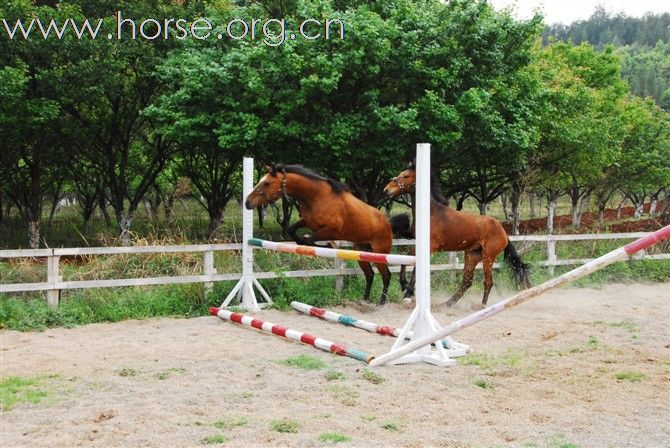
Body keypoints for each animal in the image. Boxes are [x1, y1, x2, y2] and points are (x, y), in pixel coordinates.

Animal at [245, 164, 394, 304]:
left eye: (267, 183)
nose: (247, 202)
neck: (317, 197)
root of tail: (387, 223)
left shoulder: (331, 230)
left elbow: (309, 240)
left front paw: (328, 246)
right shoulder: (307, 221)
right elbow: (293, 231)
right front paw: (306, 242)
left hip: (379, 253)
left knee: (386, 275)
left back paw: (382, 301)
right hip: (361, 251)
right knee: (370, 275)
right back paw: (365, 299)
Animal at [386, 164, 532, 308]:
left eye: (406, 176)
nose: (386, 190)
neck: (431, 212)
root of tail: (504, 232)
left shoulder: (431, 247)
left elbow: (414, 266)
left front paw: (408, 294)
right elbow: (406, 259)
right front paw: (404, 286)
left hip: (488, 257)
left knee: (488, 282)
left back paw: (482, 306)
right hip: (472, 255)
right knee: (467, 282)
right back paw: (446, 304)